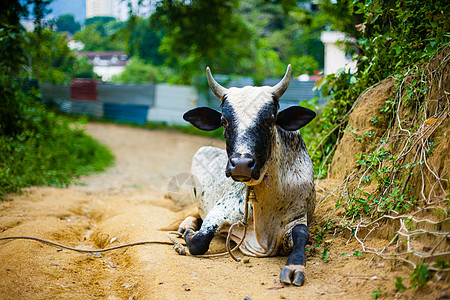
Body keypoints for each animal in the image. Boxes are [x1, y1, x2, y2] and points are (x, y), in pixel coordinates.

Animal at [180, 65, 316, 286]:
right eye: (224, 121)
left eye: (270, 119)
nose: (241, 165)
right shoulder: (218, 212)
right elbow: (199, 242)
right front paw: (190, 235)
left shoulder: (298, 217)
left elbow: (302, 235)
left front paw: (295, 266)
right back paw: (186, 224)